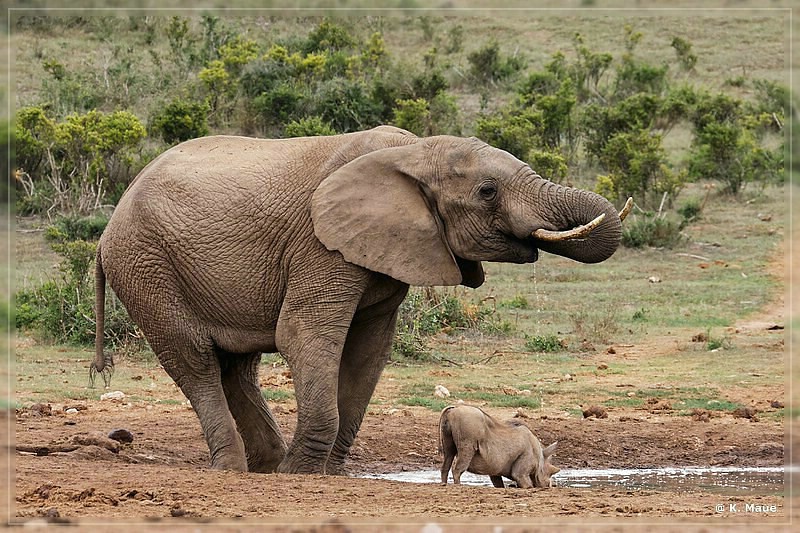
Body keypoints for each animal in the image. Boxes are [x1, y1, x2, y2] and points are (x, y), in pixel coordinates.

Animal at [92, 125, 632, 474]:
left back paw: (265, 465)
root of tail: (106, 229)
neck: (413, 152)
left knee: (235, 367)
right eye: (487, 191)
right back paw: (234, 469)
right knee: (196, 360)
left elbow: (369, 351)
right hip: (145, 265)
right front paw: (301, 475)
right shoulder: (319, 244)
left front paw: (327, 473)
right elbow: (303, 335)